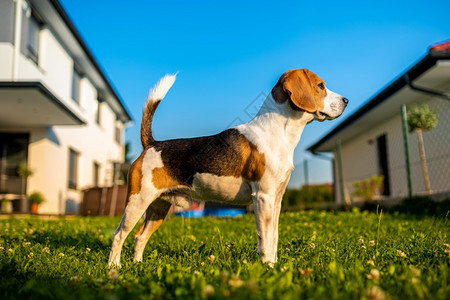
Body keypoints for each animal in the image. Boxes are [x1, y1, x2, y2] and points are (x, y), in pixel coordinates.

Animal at [109, 69, 348, 268]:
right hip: (137, 202)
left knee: (140, 237)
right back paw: (114, 268)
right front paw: (268, 267)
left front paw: (275, 264)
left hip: (158, 208)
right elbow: (266, 238)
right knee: (118, 235)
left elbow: (274, 237)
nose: (346, 100)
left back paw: (138, 265)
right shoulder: (264, 197)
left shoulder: (277, 200)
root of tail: (151, 144)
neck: (279, 129)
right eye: (320, 85)